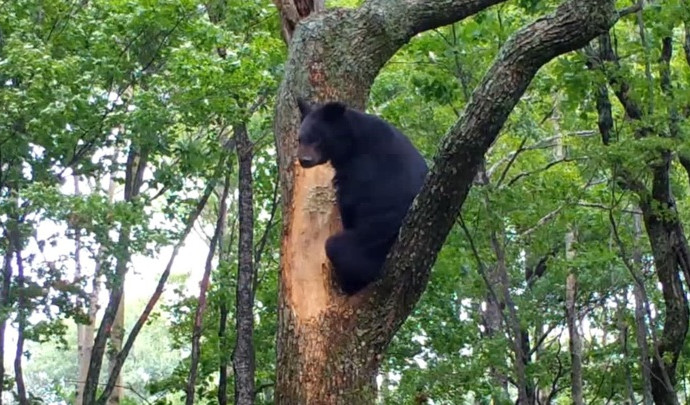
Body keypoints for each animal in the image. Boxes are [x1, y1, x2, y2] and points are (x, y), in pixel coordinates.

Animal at [294, 98, 424, 294]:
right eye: (300, 139)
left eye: (317, 138)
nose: (304, 160)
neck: (350, 142)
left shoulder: (363, 164)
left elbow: (351, 197)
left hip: (373, 238)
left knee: (338, 248)